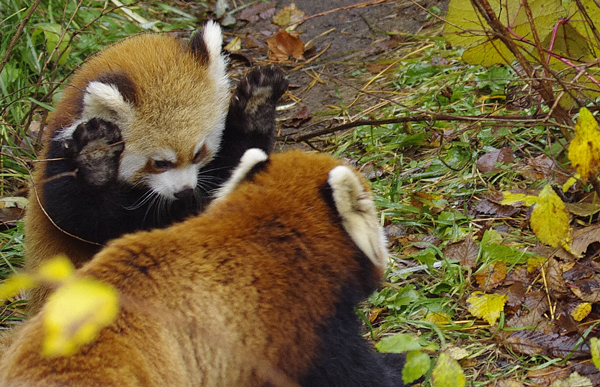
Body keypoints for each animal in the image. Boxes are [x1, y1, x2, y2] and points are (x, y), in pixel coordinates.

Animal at [22, 20, 288, 312]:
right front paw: (95, 160)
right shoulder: (58, 173)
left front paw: (256, 103)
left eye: (198, 154)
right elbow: (87, 219)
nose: (184, 190)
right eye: (160, 163)